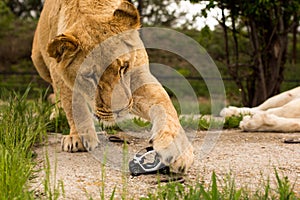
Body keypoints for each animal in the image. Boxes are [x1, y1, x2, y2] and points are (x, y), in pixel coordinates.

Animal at [31, 0, 195, 173]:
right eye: (90, 76)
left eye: (123, 67)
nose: (120, 110)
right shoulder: (58, 73)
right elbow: (73, 105)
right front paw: (79, 138)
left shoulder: (138, 77)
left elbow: (165, 105)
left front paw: (177, 148)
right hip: (39, 61)